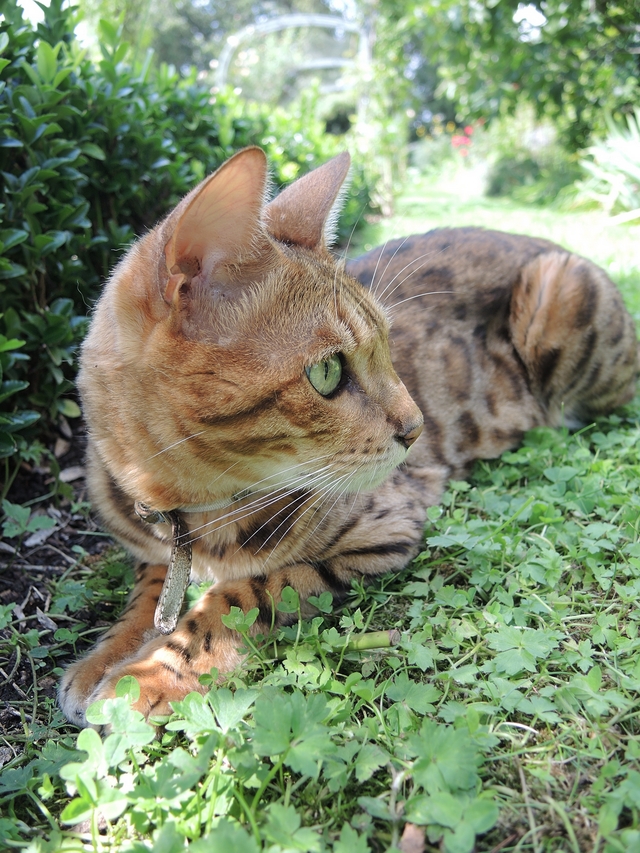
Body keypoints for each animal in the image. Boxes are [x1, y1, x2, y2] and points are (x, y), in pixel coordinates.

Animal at [58, 148, 636, 724]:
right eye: (328, 372)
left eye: (387, 345)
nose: (417, 427)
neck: (189, 511)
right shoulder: (154, 548)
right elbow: (149, 594)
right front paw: (106, 658)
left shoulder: (386, 530)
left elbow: (238, 599)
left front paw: (145, 678)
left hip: (560, 294)